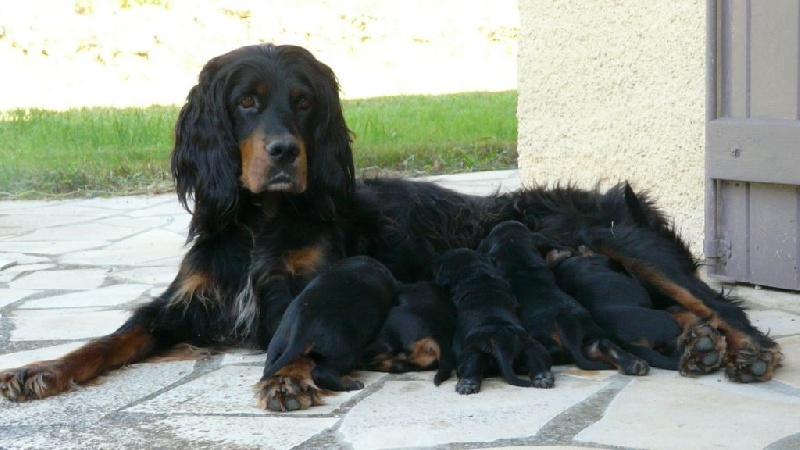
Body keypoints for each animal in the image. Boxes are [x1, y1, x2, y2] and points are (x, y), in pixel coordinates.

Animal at [434, 248, 552, 396]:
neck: (477, 273)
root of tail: (501, 341)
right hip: (530, 344)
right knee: (536, 357)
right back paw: (542, 377)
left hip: (472, 350)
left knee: (471, 365)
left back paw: (467, 385)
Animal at [476, 221, 648, 376]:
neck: (518, 260)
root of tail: (565, 322)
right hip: (592, 330)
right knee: (600, 343)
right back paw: (633, 364)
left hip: (544, 340)